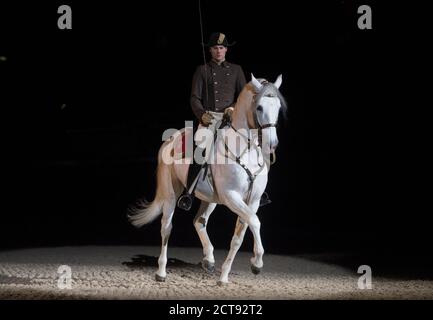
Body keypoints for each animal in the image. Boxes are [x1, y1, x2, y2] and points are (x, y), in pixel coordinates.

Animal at [126, 74, 286, 284]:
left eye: (278, 106)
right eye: (259, 107)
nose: (272, 144)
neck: (244, 150)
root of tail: (172, 139)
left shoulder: (253, 201)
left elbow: (240, 235)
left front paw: (225, 276)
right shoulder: (231, 197)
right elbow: (255, 221)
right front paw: (257, 263)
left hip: (210, 198)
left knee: (199, 221)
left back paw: (209, 260)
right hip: (171, 194)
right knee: (166, 228)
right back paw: (161, 272)